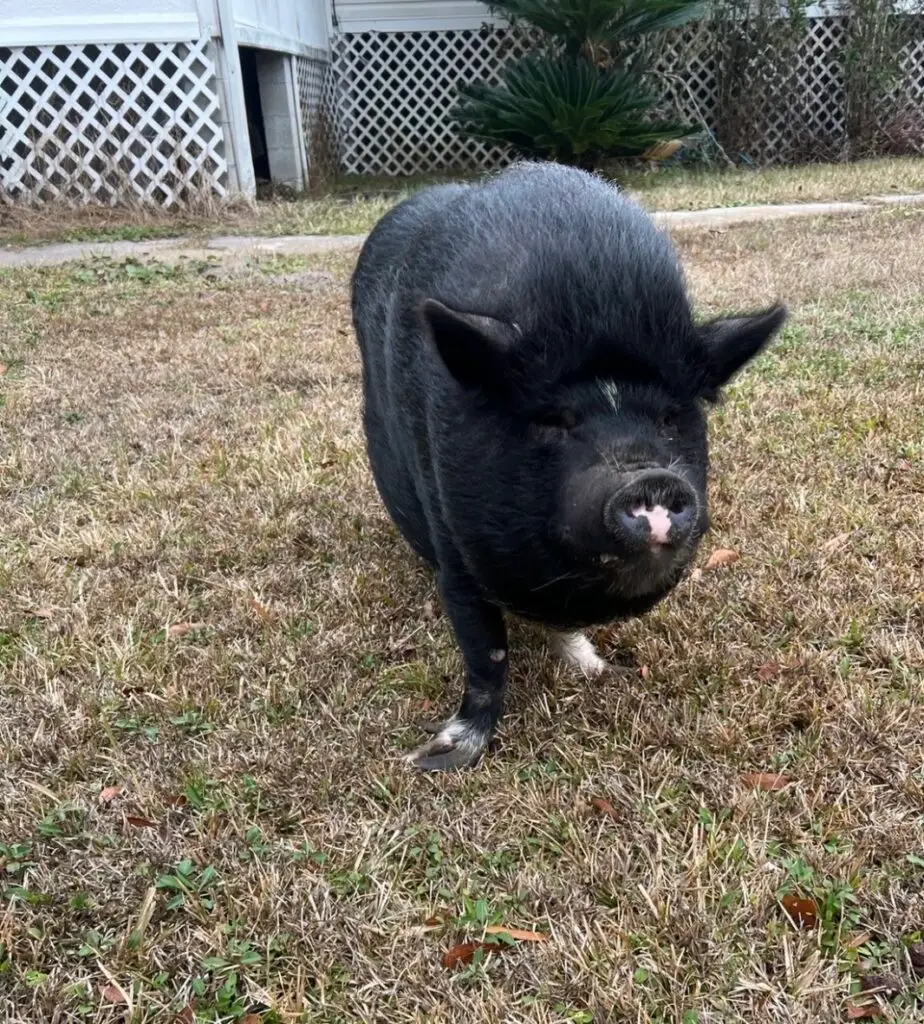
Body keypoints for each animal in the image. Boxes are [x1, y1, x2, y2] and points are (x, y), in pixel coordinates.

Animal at [350, 161, 786, 771]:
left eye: (671, 417)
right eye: (553, 421)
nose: (650, 477)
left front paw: (607, 672)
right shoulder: (451, 539)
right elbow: (485, 650)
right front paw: (435, 758)